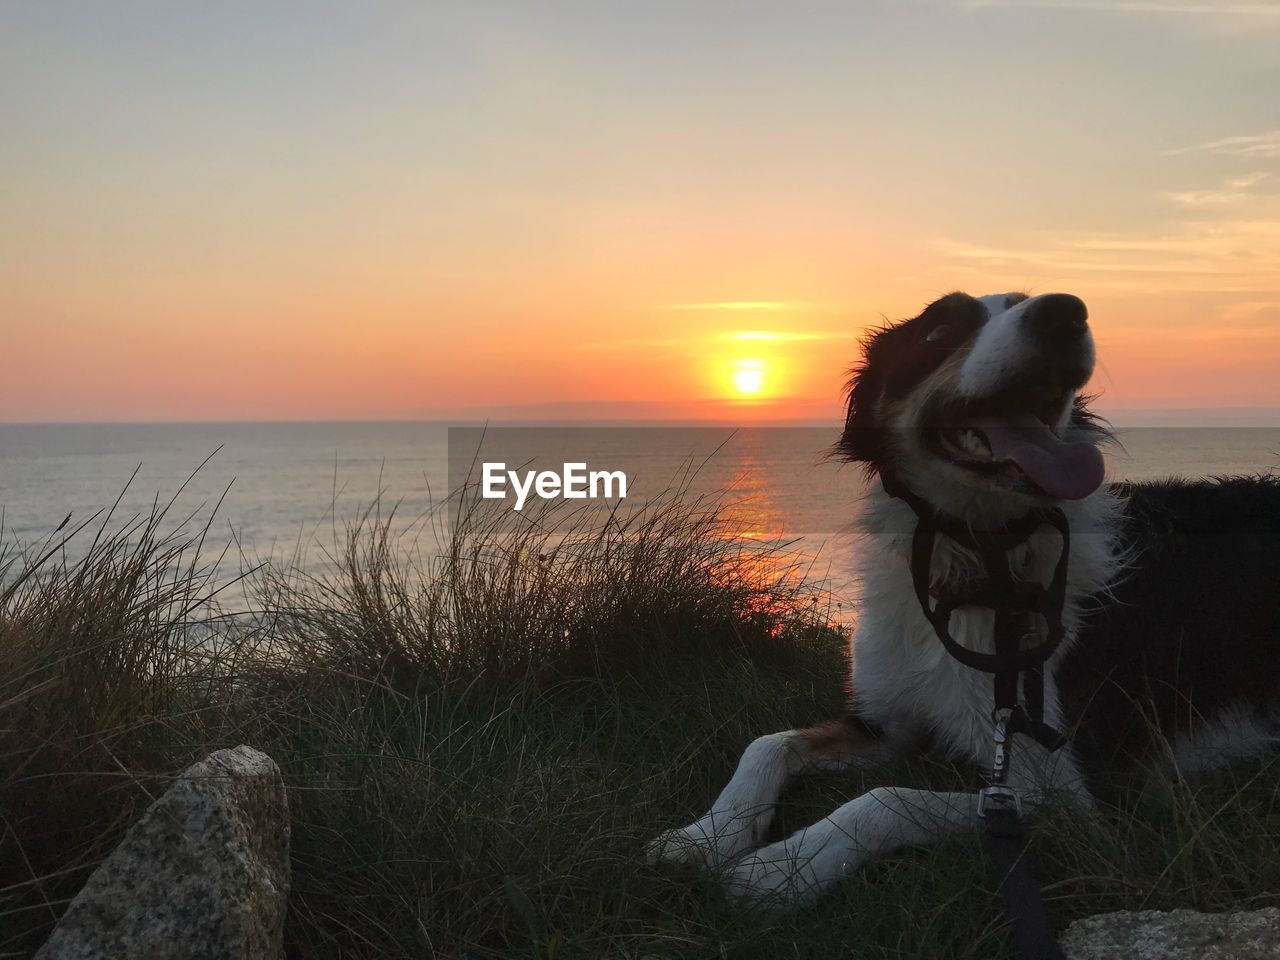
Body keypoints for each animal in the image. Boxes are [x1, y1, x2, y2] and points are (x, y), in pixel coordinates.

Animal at [650, 289, 1280, 906]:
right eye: (942, 329)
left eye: (1026, 300)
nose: (1065, 311)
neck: (979, 562)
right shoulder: (885, 722)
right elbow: (767, 743)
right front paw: (705, 837)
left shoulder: (1065, 798)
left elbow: (887, 799)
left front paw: (779, 868)